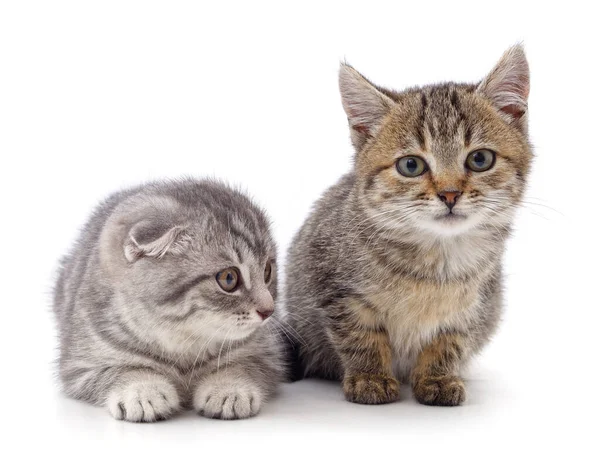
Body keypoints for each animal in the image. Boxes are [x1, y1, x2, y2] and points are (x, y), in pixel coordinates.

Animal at [54, 179, 284, 422]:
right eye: (229, 278)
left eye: (267, 271)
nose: (268, 310)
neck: (183, 340)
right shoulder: (80, 364)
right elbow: (123, 370)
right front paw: (142, 391)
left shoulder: (266, 354)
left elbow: (241, 365)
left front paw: (229, 389)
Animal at [288, 44, 536, 406]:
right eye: (410, 165)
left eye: (480, 159)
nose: (450, 194)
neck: (435, 262)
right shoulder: (336, 290)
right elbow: (360, 336)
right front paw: (370, 377)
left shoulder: (474, 306)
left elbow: (449, 342)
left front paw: (438, 377)